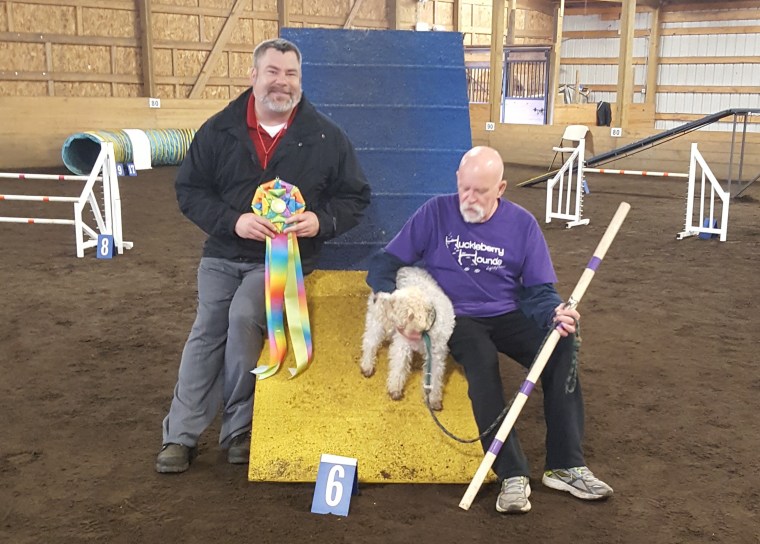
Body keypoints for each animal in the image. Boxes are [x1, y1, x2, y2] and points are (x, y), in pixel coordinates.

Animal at [360, 266, 454, 410]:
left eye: (393, 303)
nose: (377, 297)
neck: (424, 332)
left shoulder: (437, 355)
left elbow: (435, 377)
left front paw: (433, 399)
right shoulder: (402, 345)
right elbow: (398, 367)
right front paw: (395, 389)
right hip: (377, 320)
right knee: (369, 342)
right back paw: (367, 365)